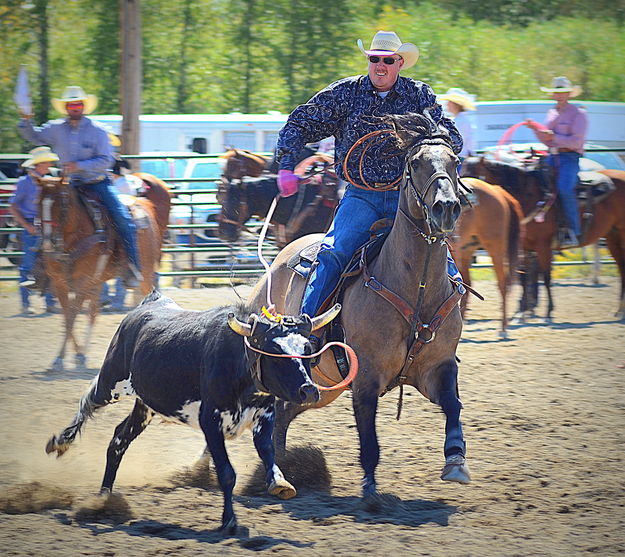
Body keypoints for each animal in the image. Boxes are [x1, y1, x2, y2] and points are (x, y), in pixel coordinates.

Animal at [35, 170, 172, 370]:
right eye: (37, 202)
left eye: (61, 204)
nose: (47, 242)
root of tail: (144, 204)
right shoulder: (60, 283)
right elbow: (67, 316)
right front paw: (71, 356)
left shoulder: (83, 282)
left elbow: (73, 315)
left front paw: (63, 359)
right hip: (98, 281)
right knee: (93, 313)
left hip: (144, 272)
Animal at [247, 113, 468, 496]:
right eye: (415, 163)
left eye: (454, 162)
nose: (446, 208)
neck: (416, 287)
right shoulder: (366, 377)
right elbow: (368, 436)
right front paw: (370, 492)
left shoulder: (437, 369)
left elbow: (453, 406)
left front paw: (455, 461)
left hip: (320, 387)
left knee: (283, 414)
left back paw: (280, 475)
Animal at [448, 177, 520, 334]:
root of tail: (497, 190)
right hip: (467, 250)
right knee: (467, 285)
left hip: (495, 248)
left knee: (502, 283)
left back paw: (503, 326)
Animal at [460, 156, 624, 322]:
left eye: (473, 179)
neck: (531, 195)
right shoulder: (525, 247)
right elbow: (525, 277)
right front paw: (521, 312)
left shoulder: (543, 246)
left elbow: (545, 276)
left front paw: (548, 312)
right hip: (612, 236)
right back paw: (618, 311)